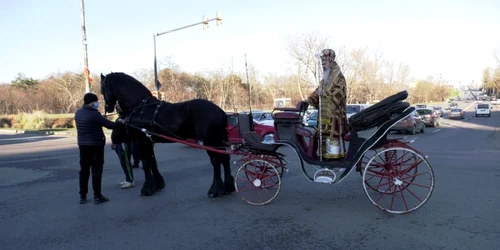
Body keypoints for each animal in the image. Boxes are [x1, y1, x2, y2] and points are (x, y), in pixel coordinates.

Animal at [101, 72, 236, 197]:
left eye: (102, 88)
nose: (108, 107)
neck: (140, 106)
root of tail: (219, 110)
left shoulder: (141, 141)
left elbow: (146, 163)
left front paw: (147, 188)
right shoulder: (149, 141)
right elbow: (152, 161)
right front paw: (157, 185)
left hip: (209, 140)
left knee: (216, 161)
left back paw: (215, 189)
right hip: (218, 140)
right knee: (225, 158)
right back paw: (228, 187)